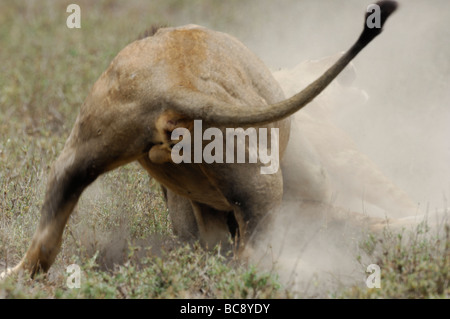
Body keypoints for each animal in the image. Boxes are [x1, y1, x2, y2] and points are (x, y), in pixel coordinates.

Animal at [1, 1, 400, 278]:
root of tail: (169, 85)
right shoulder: (316, 175)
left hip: (79, 156)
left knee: (45, 240)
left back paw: (14, 278)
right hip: (262, 177)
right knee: (251, 255)